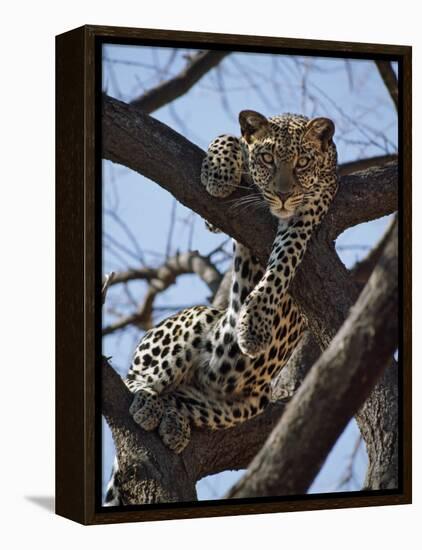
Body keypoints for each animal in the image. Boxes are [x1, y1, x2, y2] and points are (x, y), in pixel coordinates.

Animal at [104, 109, 338, 508]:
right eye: (268, 159)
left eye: (303, 163)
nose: (283, 194)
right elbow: (229, 138)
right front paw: (218, 173)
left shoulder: (309, 210)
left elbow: (283, 261)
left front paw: (255, 324)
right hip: (196, 320)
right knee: (136, 378)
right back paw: (147, 402)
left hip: (243, 403)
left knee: (179, 397)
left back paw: (172, 421)